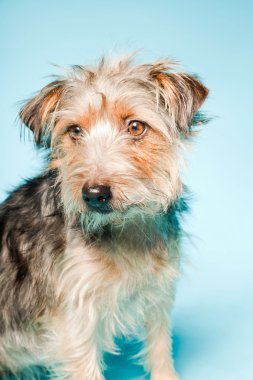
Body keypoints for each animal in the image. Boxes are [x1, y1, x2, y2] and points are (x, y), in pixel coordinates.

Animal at [0, 55, 208, 378]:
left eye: (135, 127)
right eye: (74, 131)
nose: (94, 194)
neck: (124, 227)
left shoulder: (158, 296)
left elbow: (160, 350)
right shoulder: (75, 321)